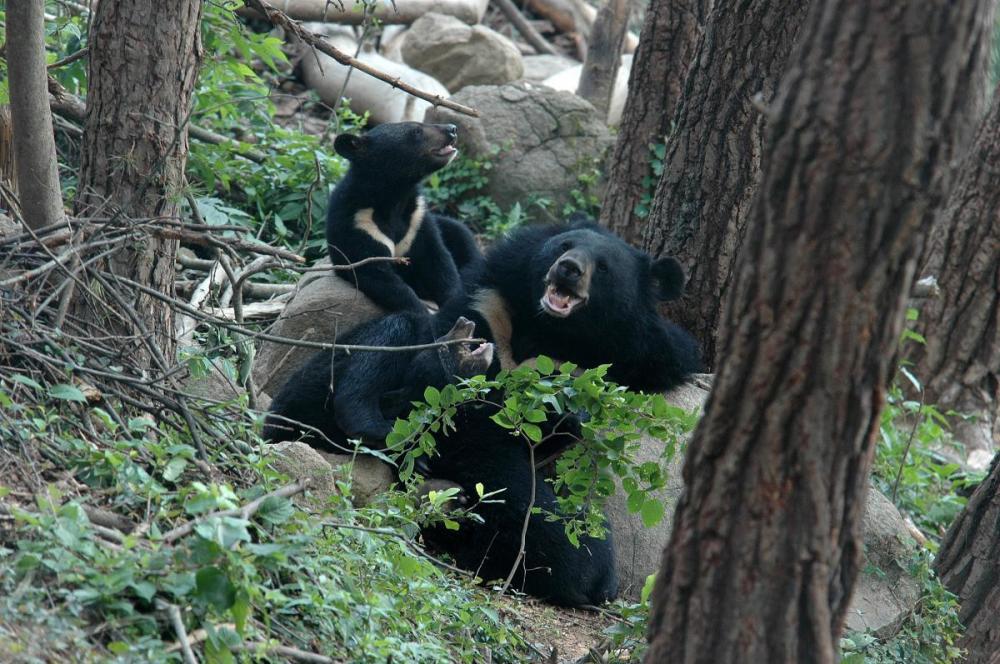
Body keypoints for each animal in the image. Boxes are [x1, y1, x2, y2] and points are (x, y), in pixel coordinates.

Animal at [328, 122, 480, 314]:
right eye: (416, 131)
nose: (452, 128)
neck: (396, 197)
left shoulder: (418, 217)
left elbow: (439, 262)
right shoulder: (357, 225)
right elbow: (375, 273)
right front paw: (422, 311)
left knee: (462, 235)